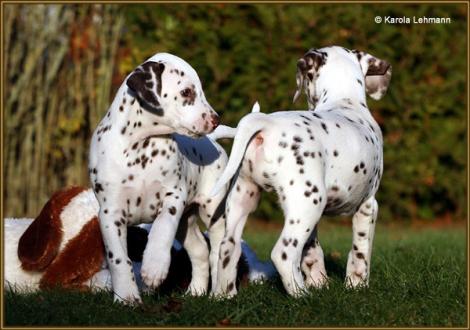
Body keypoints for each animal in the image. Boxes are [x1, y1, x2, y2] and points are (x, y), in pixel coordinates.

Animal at [89, 53, 229, 304]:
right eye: (186, 92)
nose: (215, 119)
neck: (140, 147)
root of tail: (213, 141)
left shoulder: (173, 197)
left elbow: (162, 228)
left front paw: (154, 267)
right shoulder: (109, 214)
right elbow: (119, 259)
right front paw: (126, 296)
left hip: (213, 212)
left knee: (217, 252)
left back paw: (219, 293)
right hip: (186, 224)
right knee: (200, 252)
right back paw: (195, 291)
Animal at [211, 45, 392, 296]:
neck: (345, 101)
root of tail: (265, 123)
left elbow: (311, 251)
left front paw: (320, 282)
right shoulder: (368, 206)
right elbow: (360, 252)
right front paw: (356, 285)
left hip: (245, 199)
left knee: (228, 249)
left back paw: (225, 296)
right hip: (307, 203)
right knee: (283, 254)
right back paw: (301, 294)